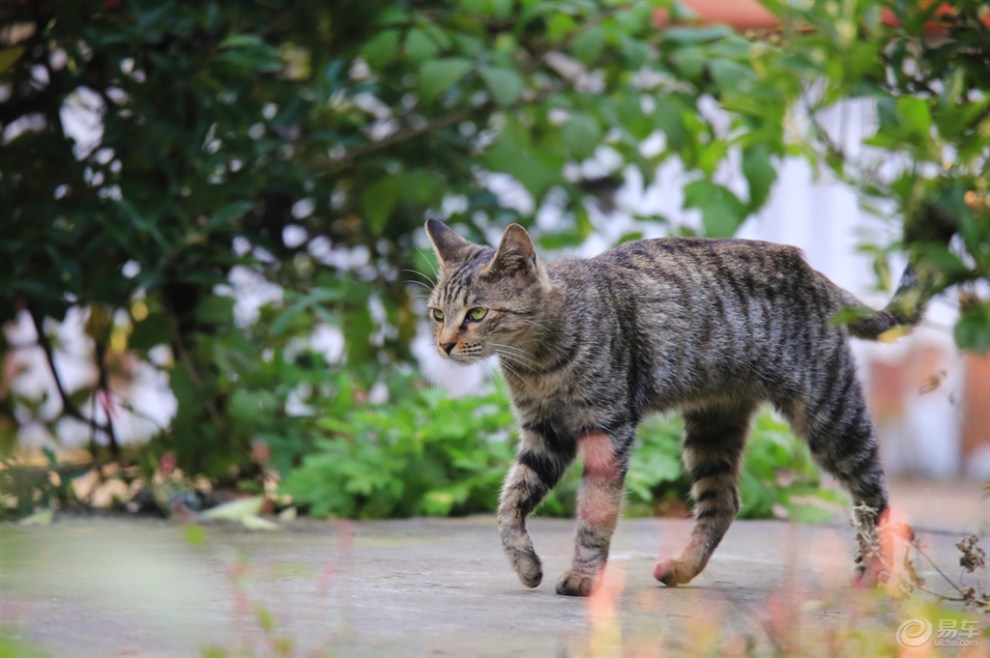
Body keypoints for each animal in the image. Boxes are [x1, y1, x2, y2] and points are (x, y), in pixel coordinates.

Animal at [424, 219, 924, 596]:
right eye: (437, 314)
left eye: (477, 314)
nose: (444, 345)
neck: (538, 363)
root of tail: (810, 269)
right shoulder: (544, 434)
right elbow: (509, 503)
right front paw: (526, 564)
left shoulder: (606, 429)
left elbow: (594, 513)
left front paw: (584, 577)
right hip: (711, 430)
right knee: (724, 502)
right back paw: (681, 569)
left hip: (829, 415)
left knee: (876, 496)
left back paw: (873, 573)